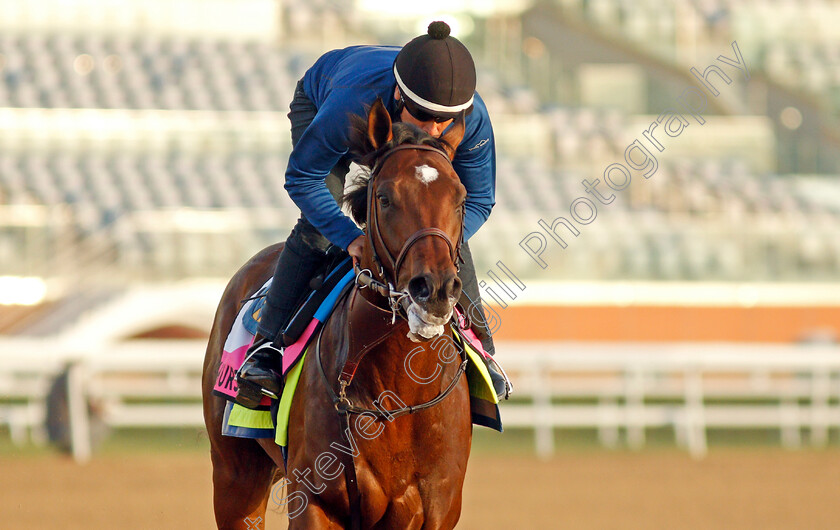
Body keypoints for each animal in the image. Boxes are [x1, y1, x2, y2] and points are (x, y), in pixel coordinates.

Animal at [201, 98, 476, 524]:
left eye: (460, 198)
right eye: (384, 198)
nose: (434, 290)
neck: (398, 396)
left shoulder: (436, 509)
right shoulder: (316, 499)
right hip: (235, 476)